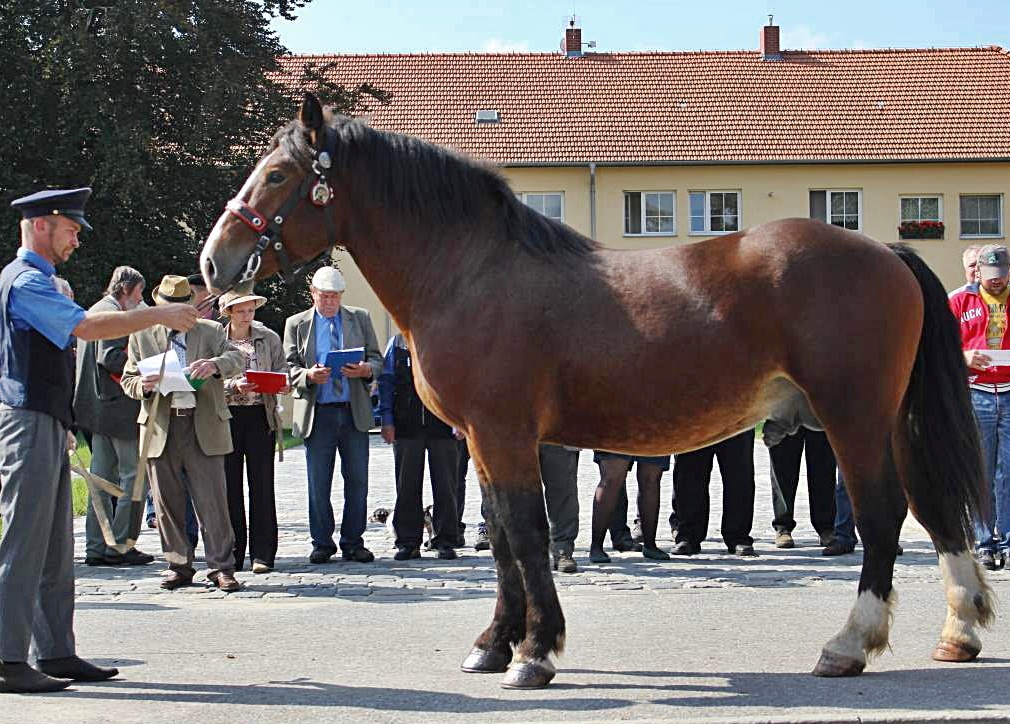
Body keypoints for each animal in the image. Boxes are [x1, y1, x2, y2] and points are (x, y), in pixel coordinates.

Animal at [198, 93, 993, 686]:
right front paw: (494, 644)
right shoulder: (478, 440)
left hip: (851, 416)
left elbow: (526, 531)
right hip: (892, 418)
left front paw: (535, 652)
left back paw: (850, 644)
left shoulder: (503, 432)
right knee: (933, 505)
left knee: (884, 514)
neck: (469, 271)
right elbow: (499, 534)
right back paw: (960, 629)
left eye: (277, 175)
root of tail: (884, 247)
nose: (212, 262)